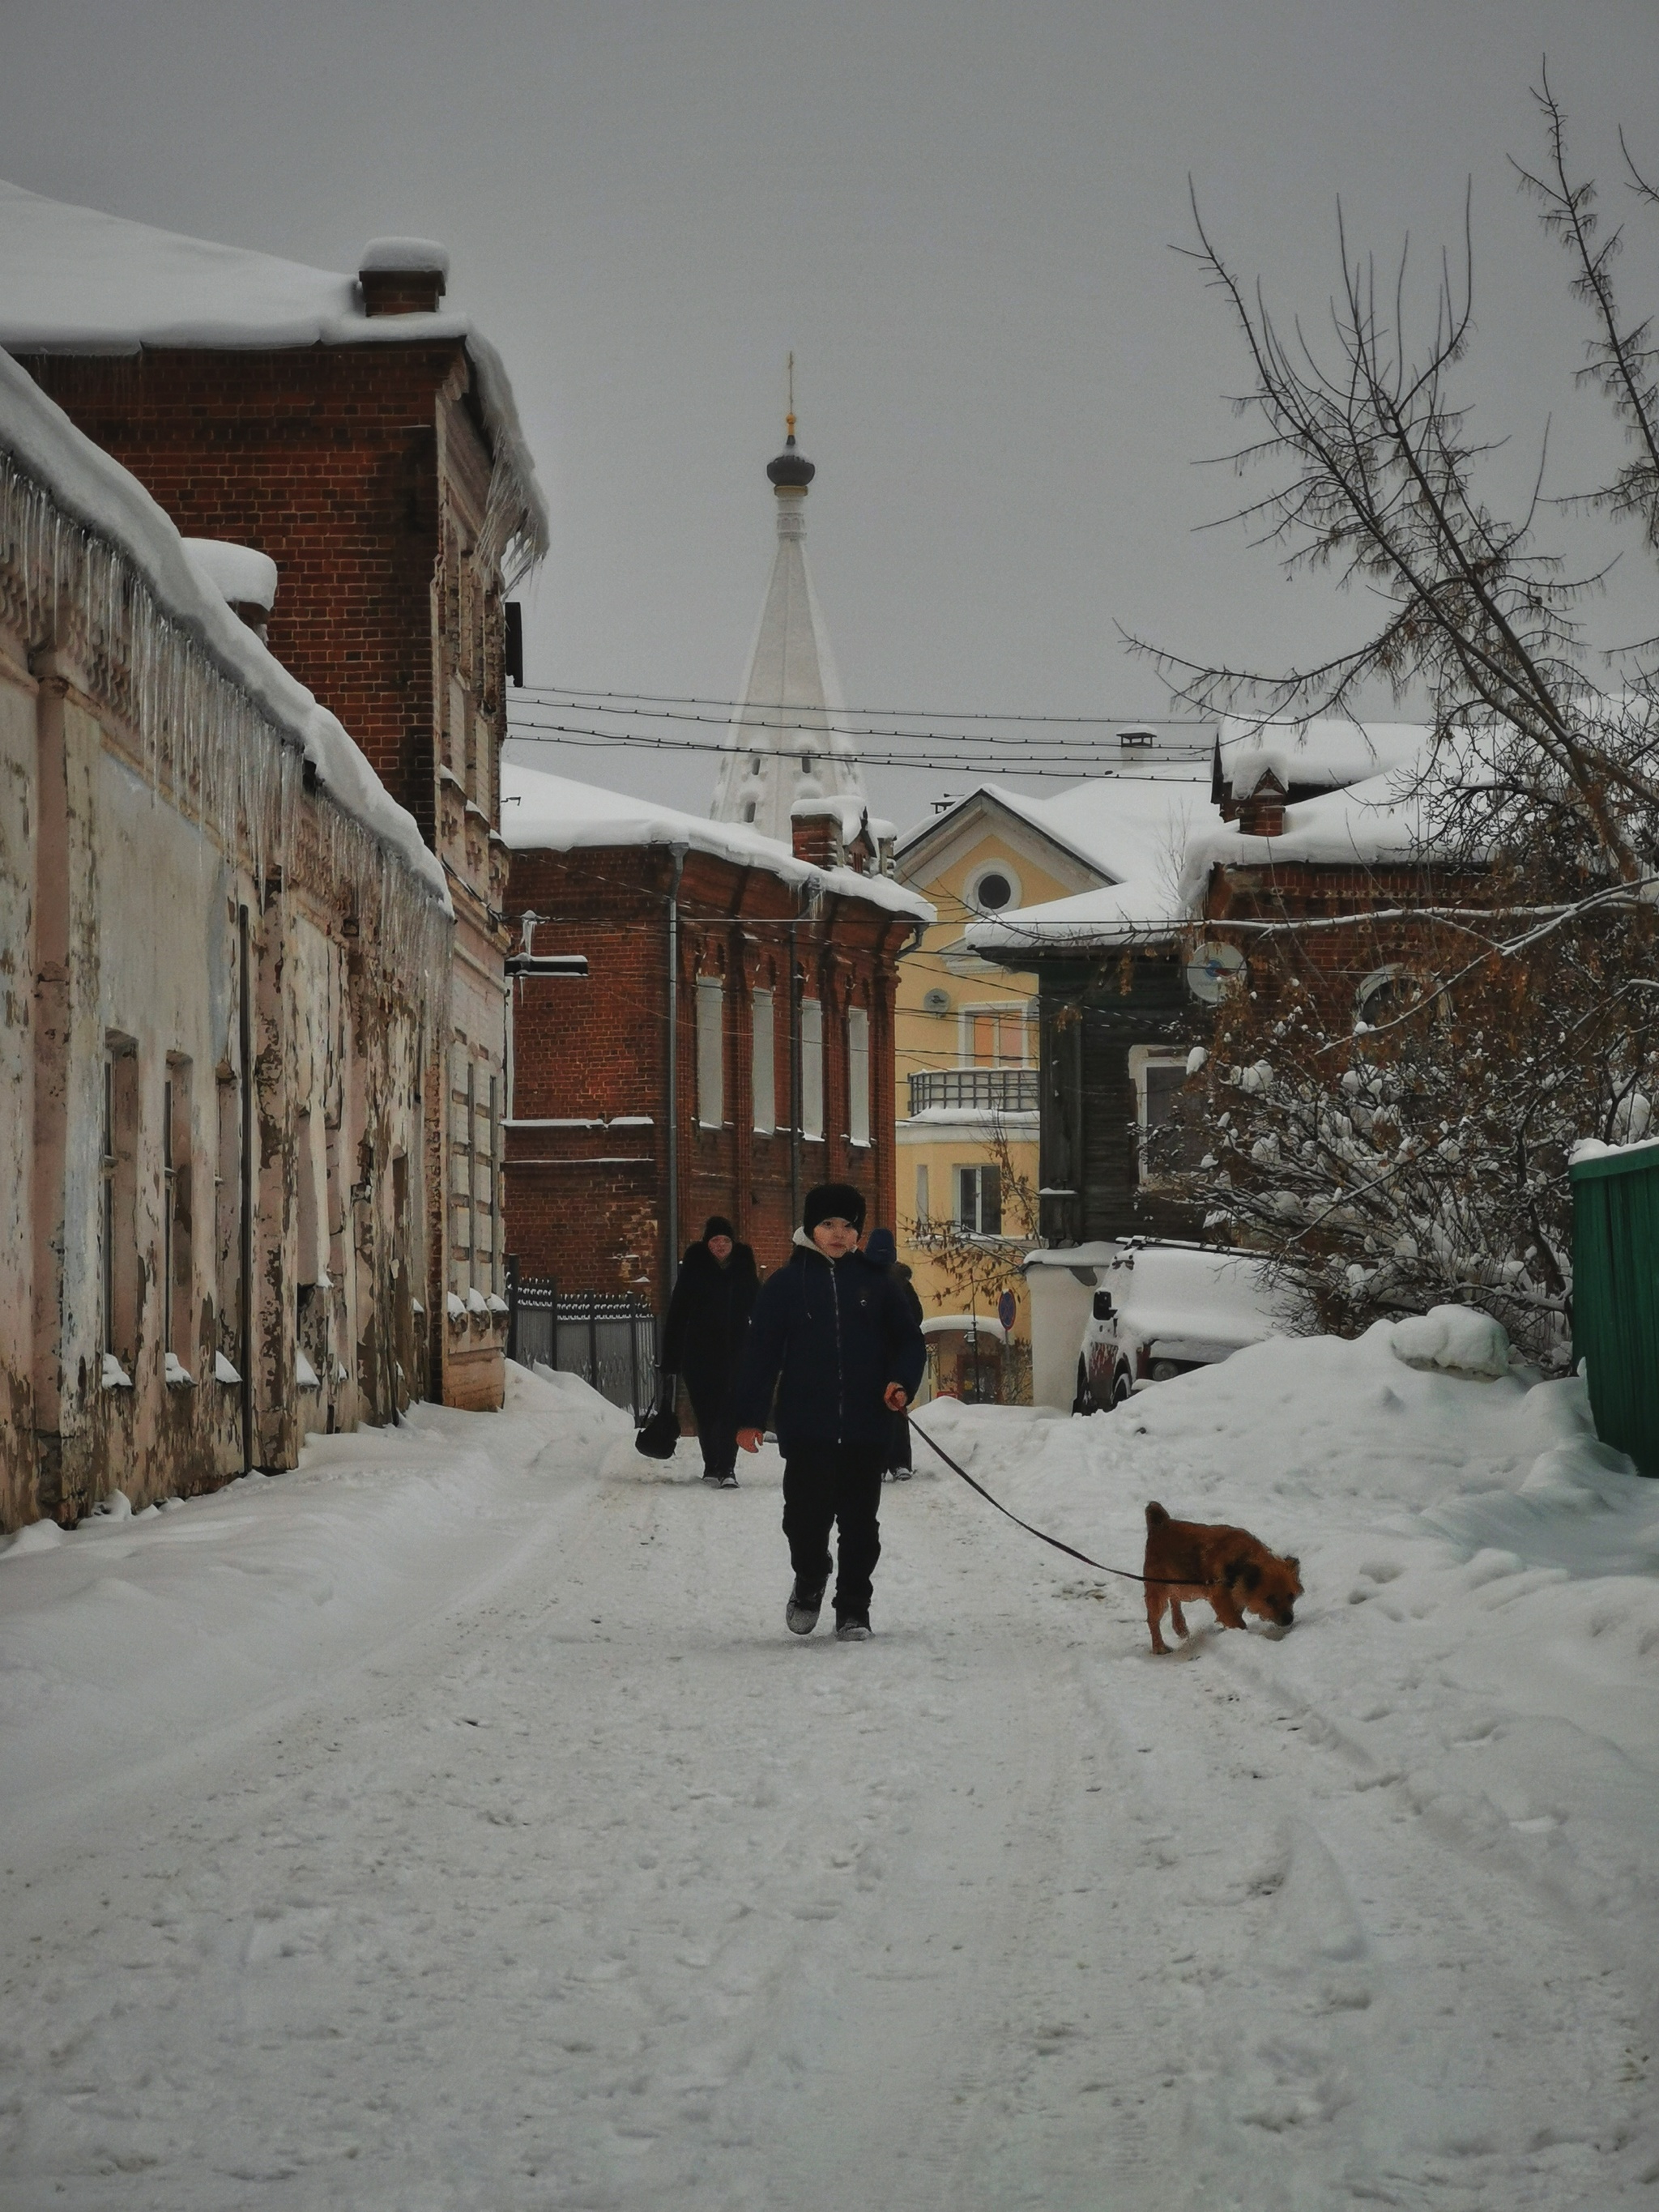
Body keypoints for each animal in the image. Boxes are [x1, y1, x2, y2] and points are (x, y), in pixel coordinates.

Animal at [1149, 1495, 1309, 1654]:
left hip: (1185, 1588)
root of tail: (1160, 1523)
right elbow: (1236, 1621)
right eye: (1270, 1600)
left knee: (1175, 1598)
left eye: (1291, 1596)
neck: (1240, 1565)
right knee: (1153, 1620)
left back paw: (1180, 1627)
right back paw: (1159, 1647)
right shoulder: (1221, 1600)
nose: (1288, 1619)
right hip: (1159, 1591)